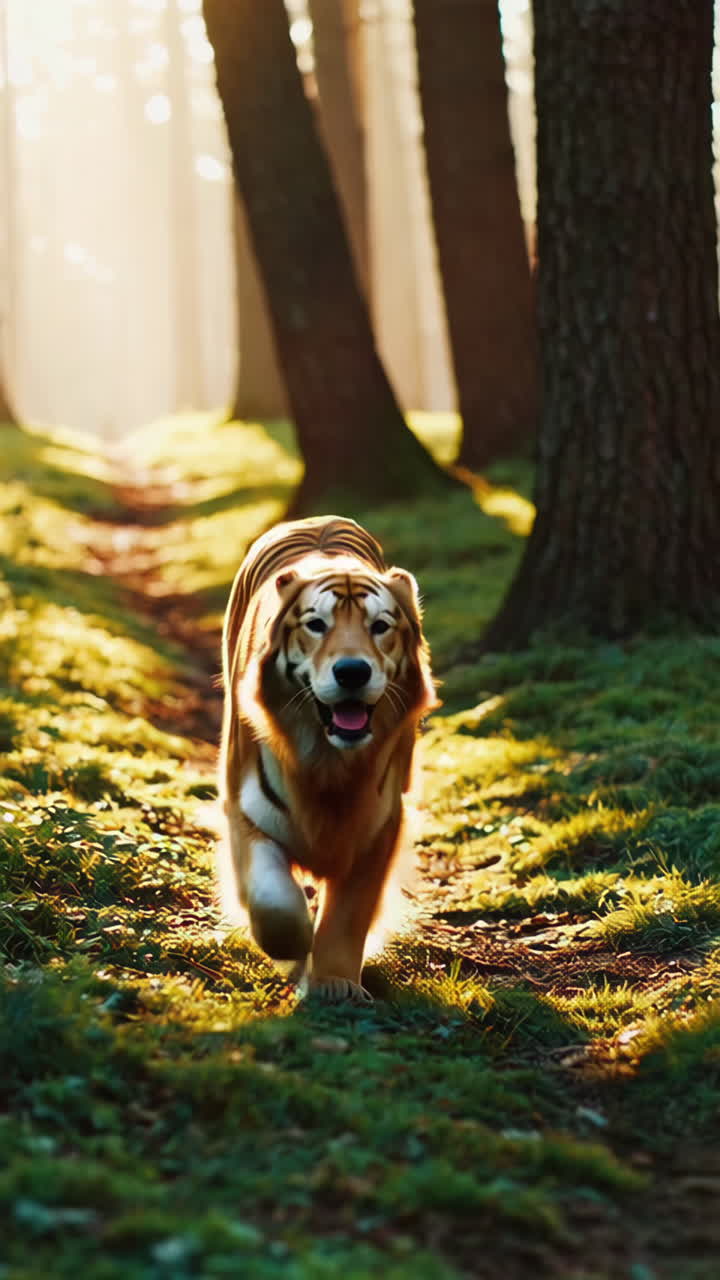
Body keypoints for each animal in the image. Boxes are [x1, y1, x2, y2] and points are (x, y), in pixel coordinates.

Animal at [217, 514, 437, 1002]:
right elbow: (275, 903)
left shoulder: (379, 824)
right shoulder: (247, 811)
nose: (352, 671)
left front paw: (335, 982)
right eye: (316, 625)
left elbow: (348, 915)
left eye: (380, 627)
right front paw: (294, 950)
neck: (330, 765)